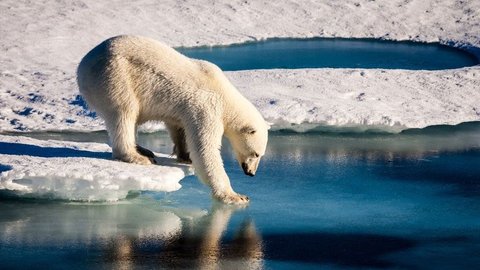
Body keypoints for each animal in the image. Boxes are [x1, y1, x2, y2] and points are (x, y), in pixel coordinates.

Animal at [77, 35, 268, 205]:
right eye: (256, 154)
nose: (251, 173)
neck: (225, 95)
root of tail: (82, 65)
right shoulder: (207, 108)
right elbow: (205, 150)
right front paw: (236, 196)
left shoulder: (184, 110)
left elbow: (179, 127)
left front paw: (185, 155)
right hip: (115, 77)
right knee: (124, 113)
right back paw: (137, 156)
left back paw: (143, 150)